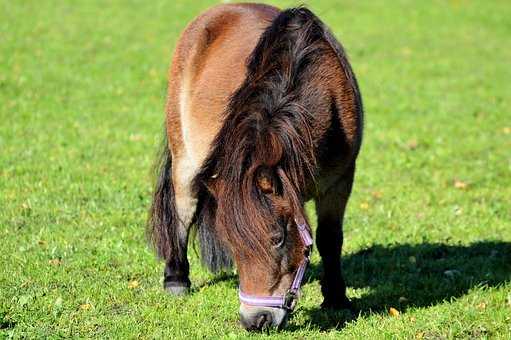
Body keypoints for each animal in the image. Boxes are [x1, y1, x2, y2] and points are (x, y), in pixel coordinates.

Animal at [148, 2, 364, 330]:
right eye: (233, 243)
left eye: (277, 239)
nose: (256, 320)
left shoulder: (340, 182)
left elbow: (330, 239)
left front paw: (336, 298)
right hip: (185, 160)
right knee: (182, 212)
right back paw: (176, 279)